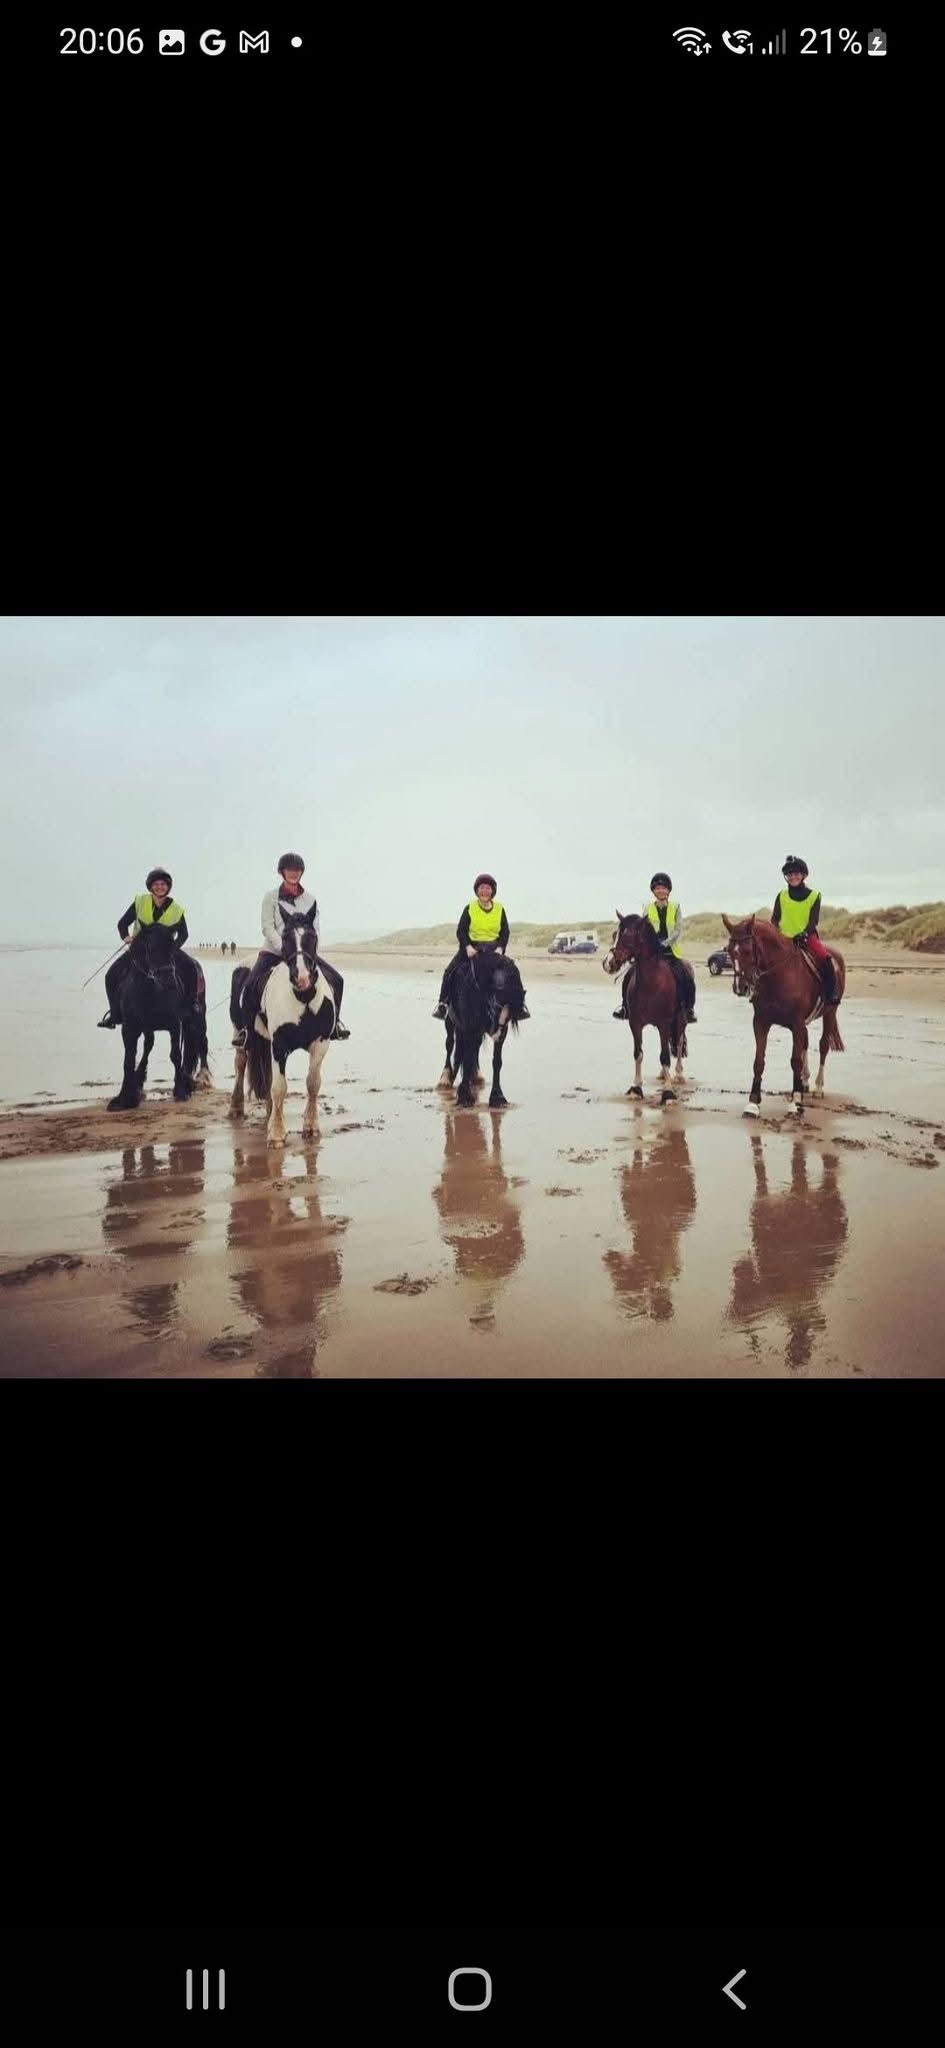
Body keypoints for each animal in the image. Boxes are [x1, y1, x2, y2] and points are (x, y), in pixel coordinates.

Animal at [107, 925, 210, 1114]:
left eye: (172, 949)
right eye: (150, 948)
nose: (169, 981)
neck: (151, 990)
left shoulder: (174, 1025)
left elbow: (175, 1055)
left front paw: (181, 1090)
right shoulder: (129, 1029)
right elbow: (128, 1059)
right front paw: (125, 1097)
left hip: (198, 1018)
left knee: (202, 1042)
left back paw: (202, 1078)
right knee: (149, 1046)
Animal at [228, 917, 336, 1155]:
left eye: (312, 937)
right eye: (285, 938)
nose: (302, 977)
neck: (303, 998)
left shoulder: (320, 1043)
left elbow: (313, 1083)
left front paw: (311, 1127)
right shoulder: (279, 1045)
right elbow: (279, 1087)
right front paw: (276, 1135)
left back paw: (269, 1112)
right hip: (240, 1031)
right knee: (240, 1062)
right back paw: (236, 1107)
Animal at [438, 950, 524, 1114]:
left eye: (508, 1010)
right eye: (494, 999)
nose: (496, 1031)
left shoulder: (499, 1032)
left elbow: (496, 1062)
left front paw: (497, 1098)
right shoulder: (468, 1028)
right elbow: (465, 1056)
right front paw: (465, 1097)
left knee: (469, 1051)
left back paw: (473, 1077)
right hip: (451, 1022)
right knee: (450, 1045)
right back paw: (446, 1079)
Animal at [602, 913, 684, 1105]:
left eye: (627, 936)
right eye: (614, 934)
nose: (607, 963)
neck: (651, 984)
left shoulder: (664, 1024)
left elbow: (664, 1056)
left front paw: (668, 1093)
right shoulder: (635, 1023)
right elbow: (638, 1053)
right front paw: (636, 1088)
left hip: (681, 1019)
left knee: (679, 1042)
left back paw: (678, 1074)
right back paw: (663, 1074)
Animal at [721, 917, 848, 1122]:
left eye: (748, 950)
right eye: (730, 951)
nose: (741, 987)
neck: (778, 975)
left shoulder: (796, 1024)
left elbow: (795, 1061)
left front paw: (795, 1103)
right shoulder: (761, 1022)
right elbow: (759, 1061)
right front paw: (753, 1103)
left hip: (830, 1013)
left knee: (823, 1046)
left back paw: (818, 1087)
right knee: (806, 1043)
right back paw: (805, 1082)